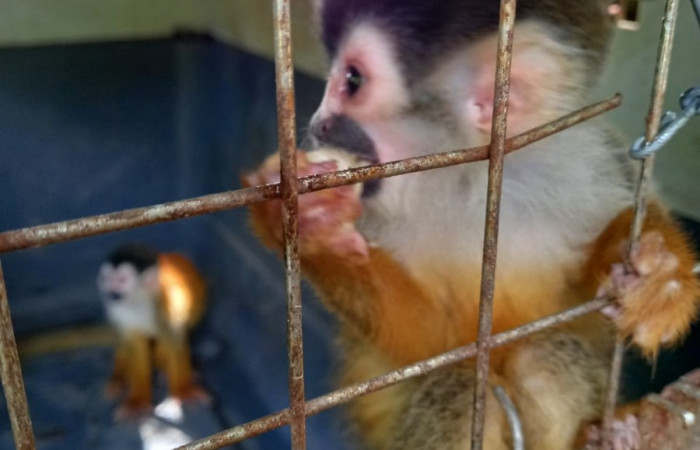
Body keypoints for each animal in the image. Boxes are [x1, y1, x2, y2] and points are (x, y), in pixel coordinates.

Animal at [96, 244, 207, 419]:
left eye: (122, 281)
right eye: (107, 279)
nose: (111, 292)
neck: (139, 302)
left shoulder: (165, 307)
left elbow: (175, 343)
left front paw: (184, 391)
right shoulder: (117, 311)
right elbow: (135, 348)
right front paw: (138, 401)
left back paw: (164, 370)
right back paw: (118, 378)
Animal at [243, 0, 700, 448]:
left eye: (352, 81)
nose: (318, 123)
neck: (471, 182)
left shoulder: (595, 163)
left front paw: (660, 275)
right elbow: (426, 341)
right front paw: (310, 227)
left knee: (543, 360)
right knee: (460, 392)